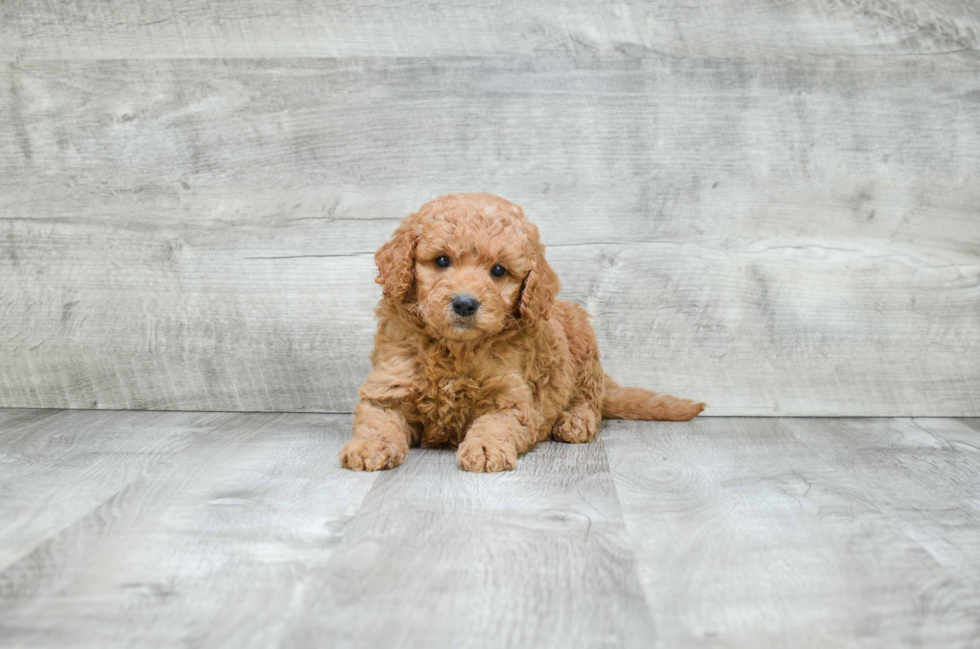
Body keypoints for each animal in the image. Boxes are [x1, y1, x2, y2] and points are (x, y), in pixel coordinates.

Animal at [338, 192, 704, 470]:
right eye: (441, 261)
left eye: (499, 271)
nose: (465, 304)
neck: (455, 349)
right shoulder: (389, 387)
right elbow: (378, 421)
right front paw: (369, 448)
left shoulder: (513, 399)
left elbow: (497, 423)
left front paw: (485, 448)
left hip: (583, 343)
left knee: (589, 399)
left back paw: (575, 422)